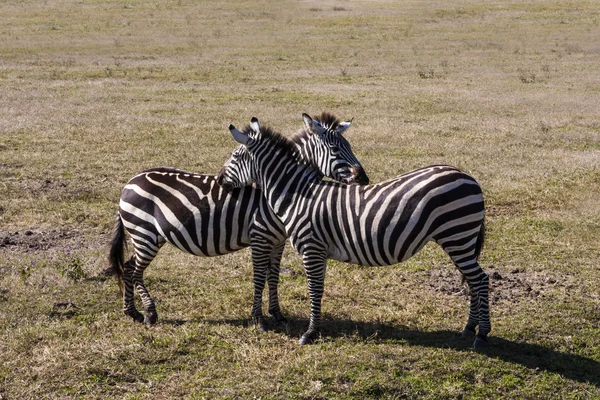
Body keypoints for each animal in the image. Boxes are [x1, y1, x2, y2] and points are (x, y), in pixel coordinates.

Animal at [109, 111, 368, 328]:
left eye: (349, 146)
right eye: (335, 149)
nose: (364, 179)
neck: (284, 188)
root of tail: (130, 181)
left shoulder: (278, 240)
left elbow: (273, 276)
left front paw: (278, 315)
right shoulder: (260, 236)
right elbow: (259, 277)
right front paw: (259, 320)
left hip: (148, 236)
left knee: (129, 267)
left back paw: (132, 312)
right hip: (144, 234)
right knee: (133, 269)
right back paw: (149, 313)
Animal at [218, 117, 490, 348]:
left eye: (234, 155)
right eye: (336, 149)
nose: (220, 179)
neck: (299, 195)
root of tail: (469, 177)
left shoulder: (312, 248)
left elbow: (314, 289)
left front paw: (310, 333)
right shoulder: (316, 250)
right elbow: (315, 287)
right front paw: (313, 328)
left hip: (458, 236)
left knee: (481, 279)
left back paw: (482, 335)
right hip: (459, 240)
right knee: (473, 281)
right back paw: (469, 329)